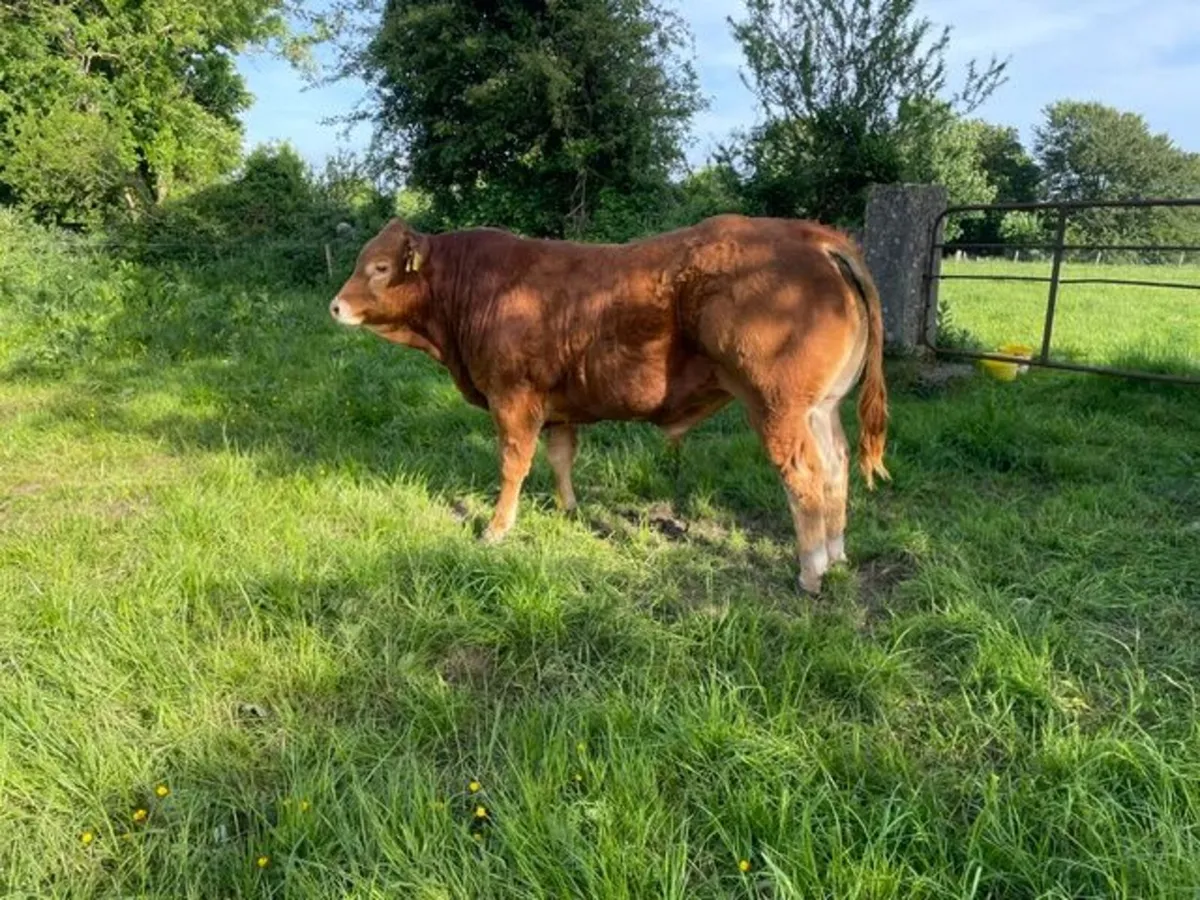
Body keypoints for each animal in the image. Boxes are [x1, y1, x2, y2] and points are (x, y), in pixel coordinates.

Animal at [329, 214, 889, 594]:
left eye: (379, 266)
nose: (335, 306)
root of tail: (812, 235)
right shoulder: (556, 405)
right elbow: (560, 458)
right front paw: (570, 510)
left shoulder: (512, 397)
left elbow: (513, 465)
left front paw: (495, 530)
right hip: (821, 409)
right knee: (836, 467)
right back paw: (836, 554)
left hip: (778, 408)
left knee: (803, 478)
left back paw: (811, 571)